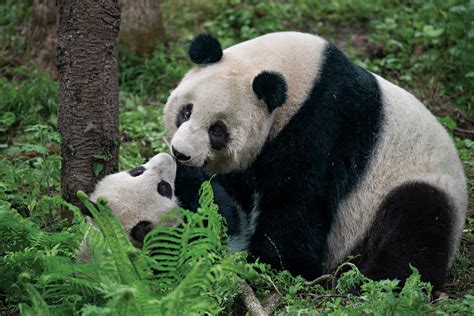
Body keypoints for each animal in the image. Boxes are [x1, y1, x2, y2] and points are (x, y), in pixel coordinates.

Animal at [165, 32, 468, 292]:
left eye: (217, 131)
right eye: (186, 111)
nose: (181, 153)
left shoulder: (325, 126)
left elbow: (297, 207)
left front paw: (268, 262)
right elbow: (229, 202)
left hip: (419, 184)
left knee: (415, 229)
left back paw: (373, 283)